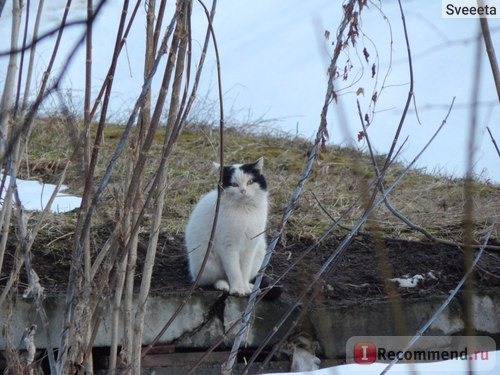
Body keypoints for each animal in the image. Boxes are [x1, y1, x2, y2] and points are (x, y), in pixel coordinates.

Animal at [185, 156, 270, 296]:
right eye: (234, 184)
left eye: (250, 182)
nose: (243, 191)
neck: (243, 210)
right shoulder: (227, 245)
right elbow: (234, 270)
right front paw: (237, 290)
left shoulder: (250, 245)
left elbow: (244, 270)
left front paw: (245, 288)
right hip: (207, 262)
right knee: (215, 279)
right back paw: (224, 286)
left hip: (260, 252)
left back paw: (250, 287)